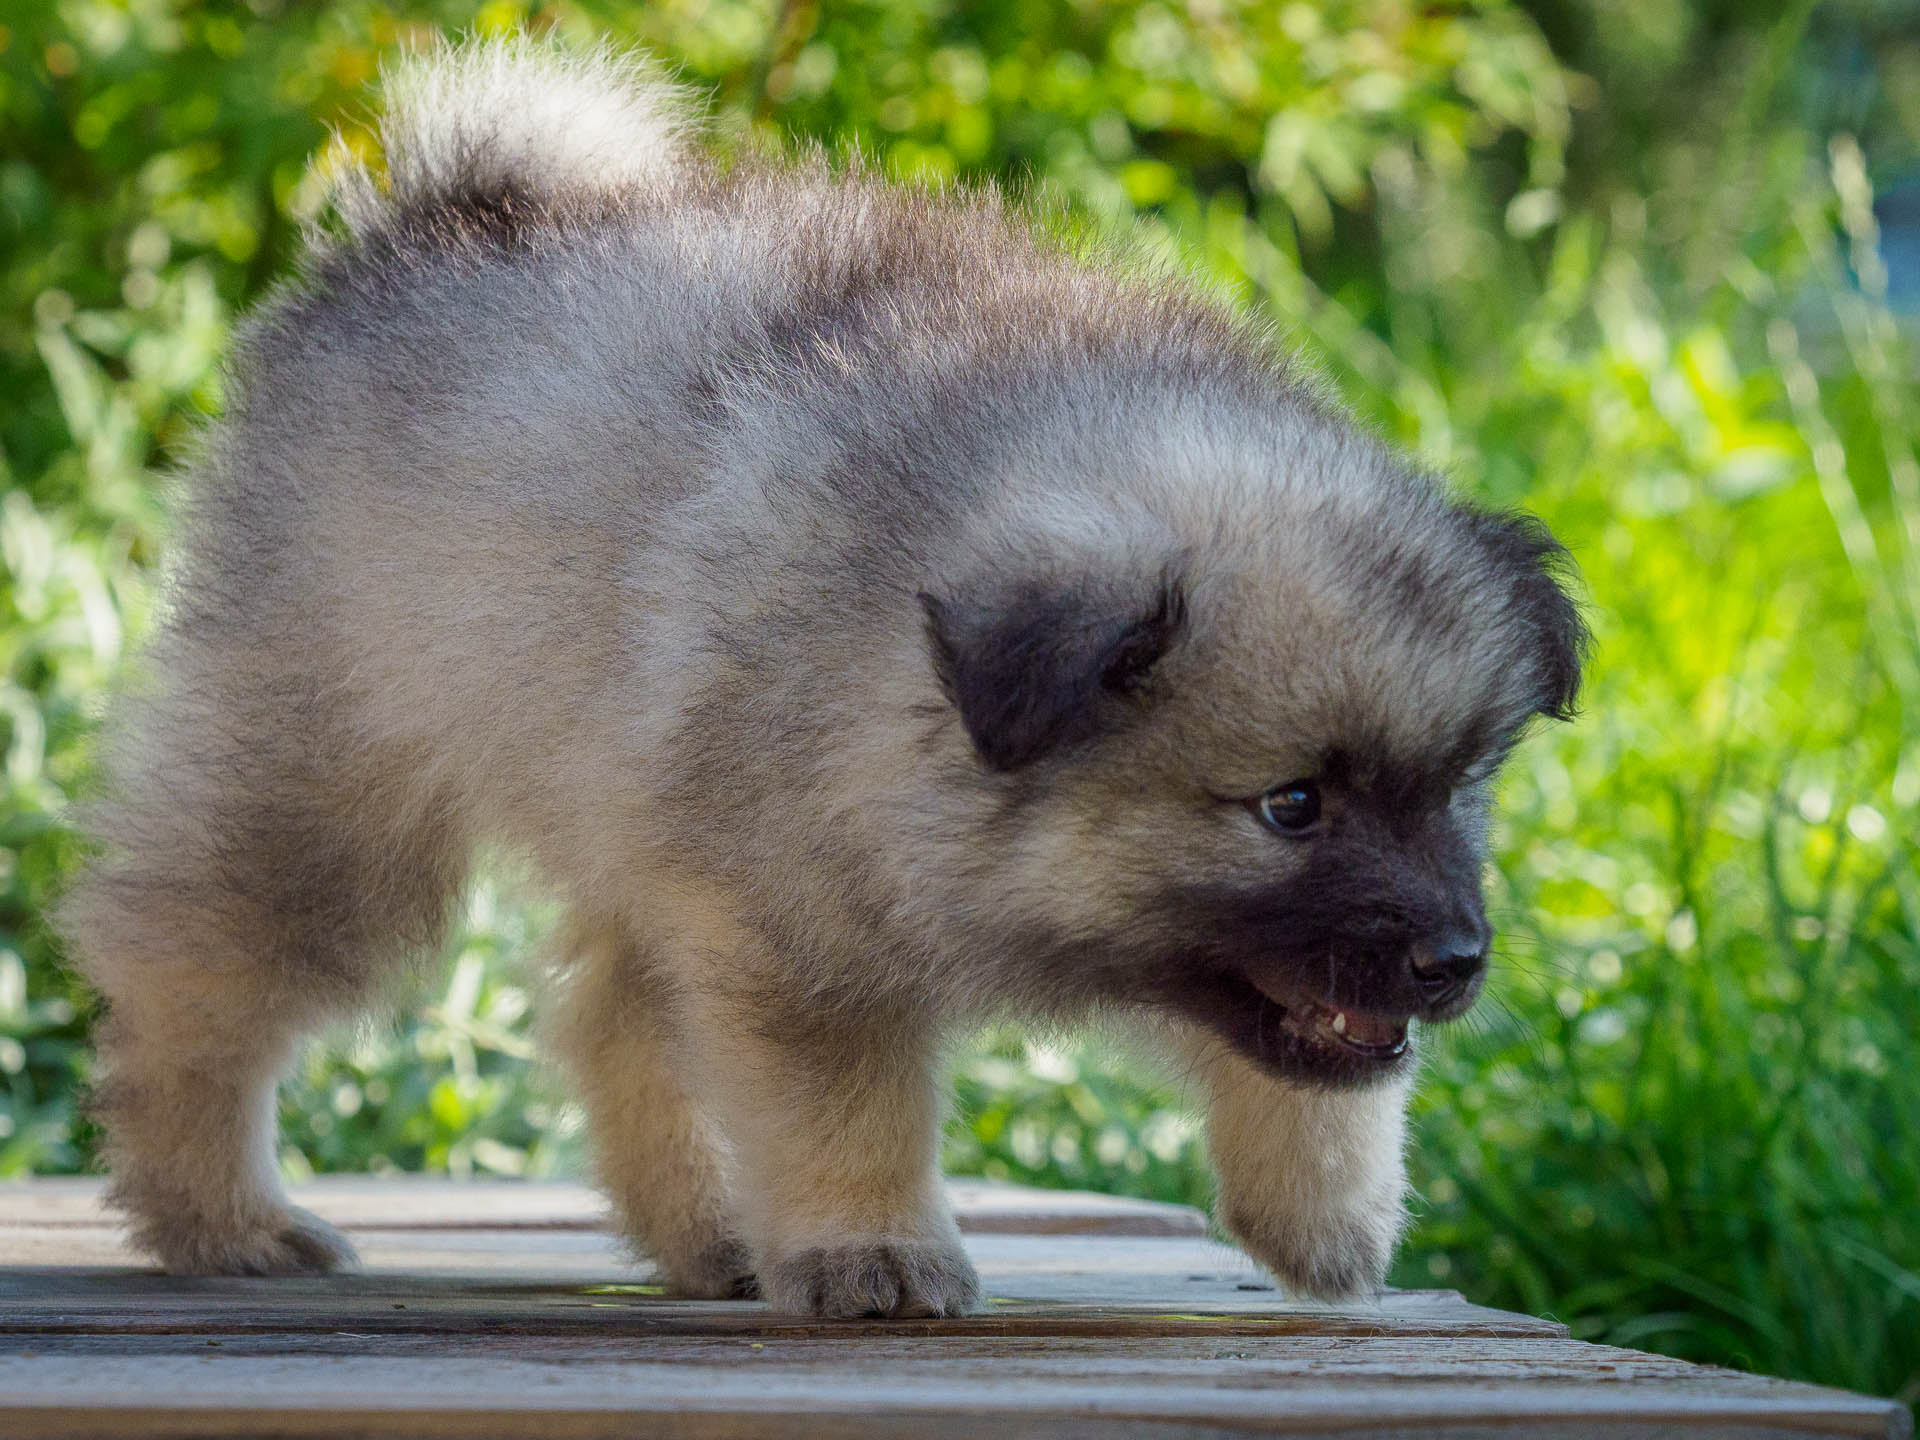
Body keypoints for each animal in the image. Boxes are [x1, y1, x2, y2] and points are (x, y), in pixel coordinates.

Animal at [63, 36, 1589, 1320]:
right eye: (1290, 807)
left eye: (1462, 785)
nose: (1457, 960)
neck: (893, 653)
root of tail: (444, 217)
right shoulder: (798, 933)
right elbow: (849, 1106)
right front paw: (876, 1248)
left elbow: (1315, 1064)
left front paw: (1324, 1212)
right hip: (336, 781)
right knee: (191, 974)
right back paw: (220, 1215)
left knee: (615, 1019)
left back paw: (710, 1234)